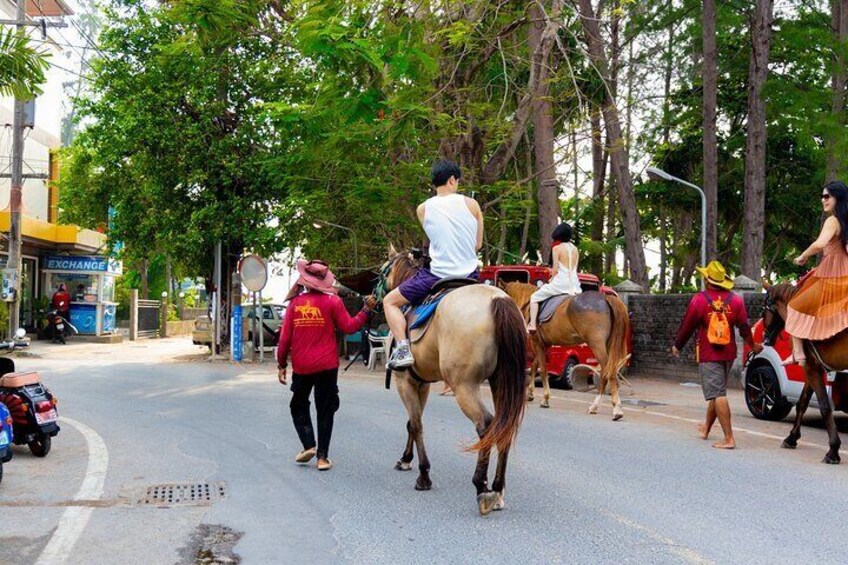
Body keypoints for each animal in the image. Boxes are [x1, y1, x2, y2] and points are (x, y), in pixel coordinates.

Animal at [380, 251, 528, 516]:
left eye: (381, 271)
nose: (370, 300)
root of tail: (497, 299)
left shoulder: (404, 381)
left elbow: (416, 425)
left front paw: (423, 475)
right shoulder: (422, 384)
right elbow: (412, 423)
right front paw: (406, 459)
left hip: (464, 387)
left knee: (485, 425)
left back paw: (482, 487)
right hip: (502, 383)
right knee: (503, 428)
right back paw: (498, 490)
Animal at [500, 282, 632, 418]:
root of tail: (605, 298)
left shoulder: (537, 343)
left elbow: (542, 370)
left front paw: (545, 398)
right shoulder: (544, 345)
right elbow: (534, 367)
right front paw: (530, 394)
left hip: (597, 345)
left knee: (607, 372)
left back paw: (611, 408)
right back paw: (599, 406)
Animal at [760, 280, 848, 462]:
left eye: (763, 311)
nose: (765, 337)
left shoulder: (811, 369)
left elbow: (824, 406)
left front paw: (833, 449)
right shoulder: (813, 368)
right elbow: (802, 402)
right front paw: (792, 437)